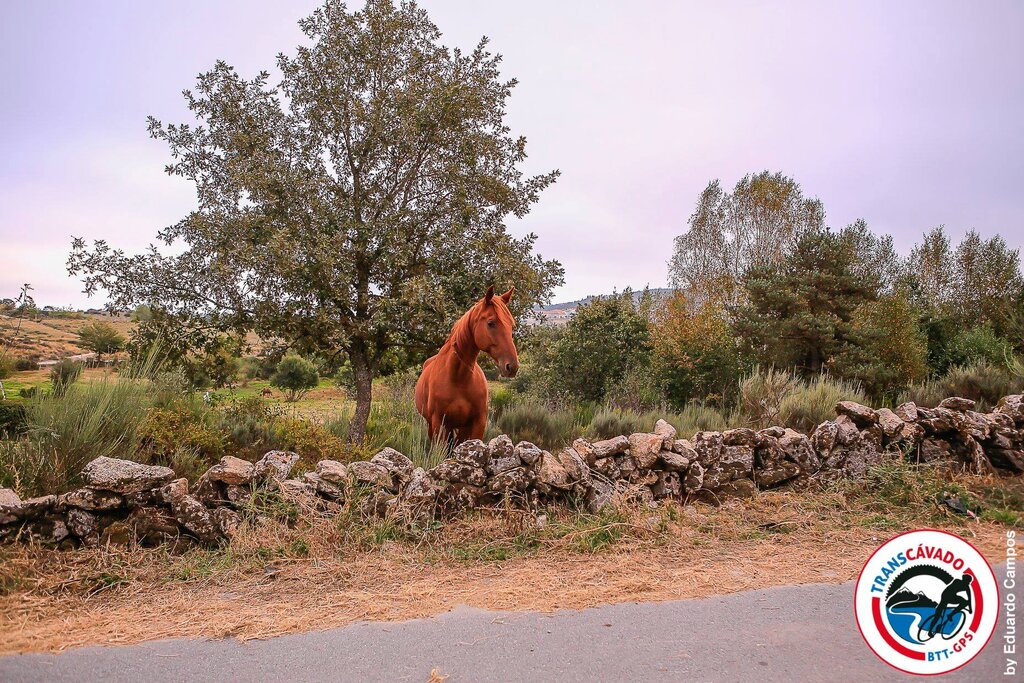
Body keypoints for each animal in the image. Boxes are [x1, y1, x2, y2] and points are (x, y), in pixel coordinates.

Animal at [411, 286, 516, 446]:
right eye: (491, 323)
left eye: (512, 325)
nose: (512, 366)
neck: (458, 378)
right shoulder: (439, 424)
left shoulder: (477, 423)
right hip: (434, 425)